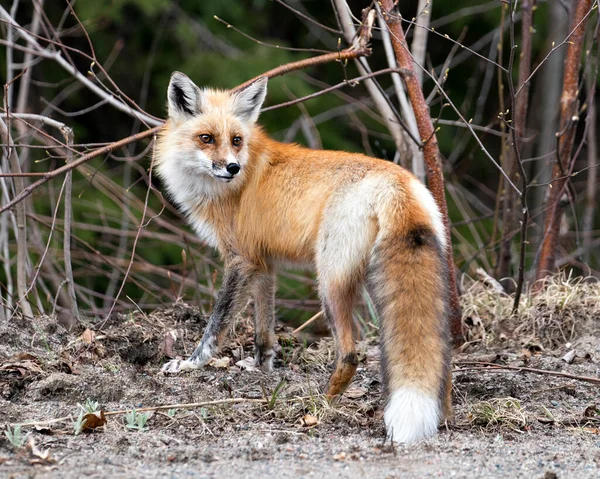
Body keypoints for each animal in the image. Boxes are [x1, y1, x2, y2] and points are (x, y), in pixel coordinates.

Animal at [155, 72, 450, 446]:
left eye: (236, 140)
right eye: (206, 138)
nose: (233, 167)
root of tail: (396, 182)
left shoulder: (241, 260)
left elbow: (216, 325)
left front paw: (191, 364)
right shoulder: (264, 263)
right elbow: (263, 330)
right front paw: (261, 367)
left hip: (329, 281)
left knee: (350, 354)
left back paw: (319, 405)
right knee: (440, 352)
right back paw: (444, 414)